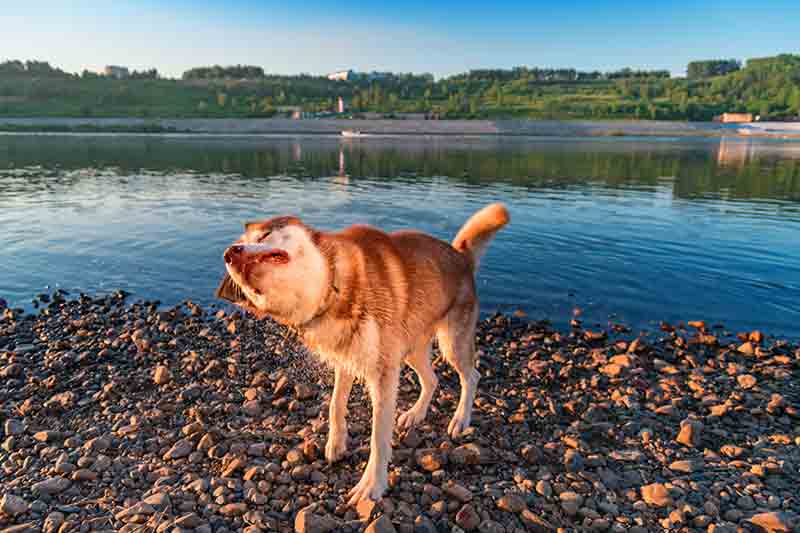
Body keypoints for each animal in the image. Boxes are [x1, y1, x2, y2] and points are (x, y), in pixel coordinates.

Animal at [216, 203, 510, 502]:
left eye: (263, 235)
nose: (229, 253)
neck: (331, 289)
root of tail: (460, 256)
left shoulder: (383, 374)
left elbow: (378, 438)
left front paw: (372, 485)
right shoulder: (345, 359)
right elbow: (335, 404)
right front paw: (336, 443)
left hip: (452, 344)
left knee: (471, 377)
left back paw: (460, 419)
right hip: (410, 350)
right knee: (432, 379)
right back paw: (415, 414)